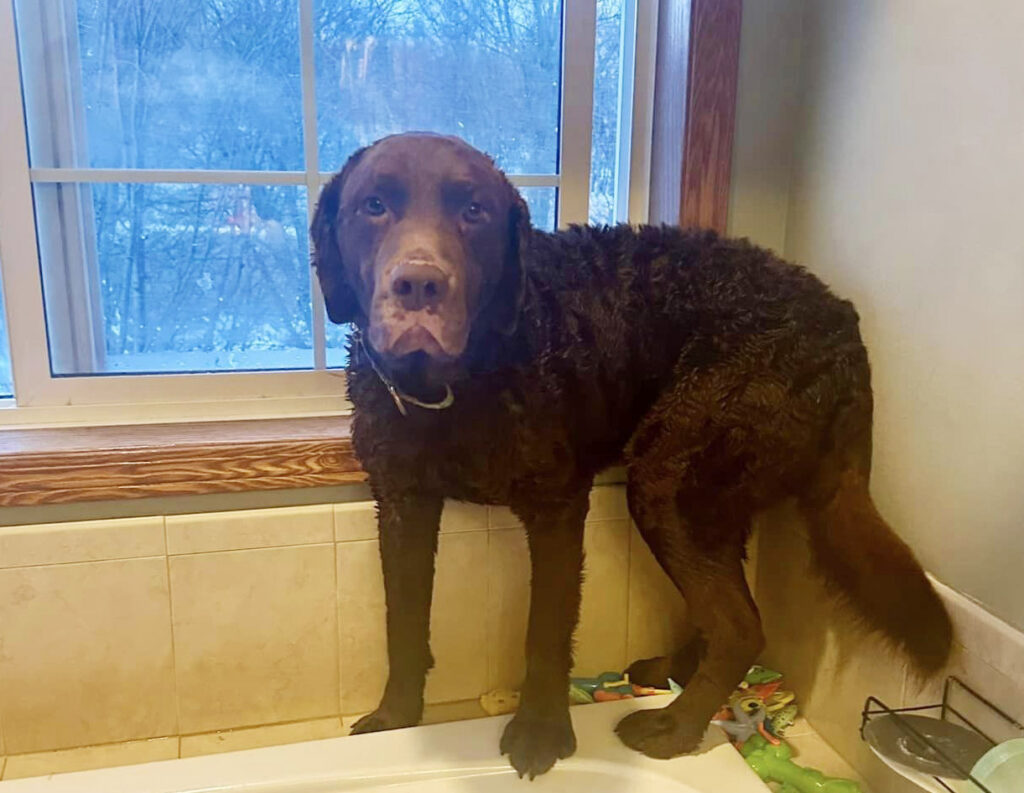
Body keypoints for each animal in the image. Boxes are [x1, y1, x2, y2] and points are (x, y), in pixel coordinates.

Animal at [309, 133, 950, 778]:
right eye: (373, 206)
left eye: (474, 211)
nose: (419, 285)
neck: (455, 387)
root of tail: (844, 327)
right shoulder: (401, 503)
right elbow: (403, 623)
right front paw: (395, 719)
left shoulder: (557, 507)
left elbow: (546, 630)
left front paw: (540, 732)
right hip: (711, 490)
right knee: (727, 610)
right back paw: (672, 674)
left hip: (669, 478)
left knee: (740, 626)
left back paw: (675, 727)